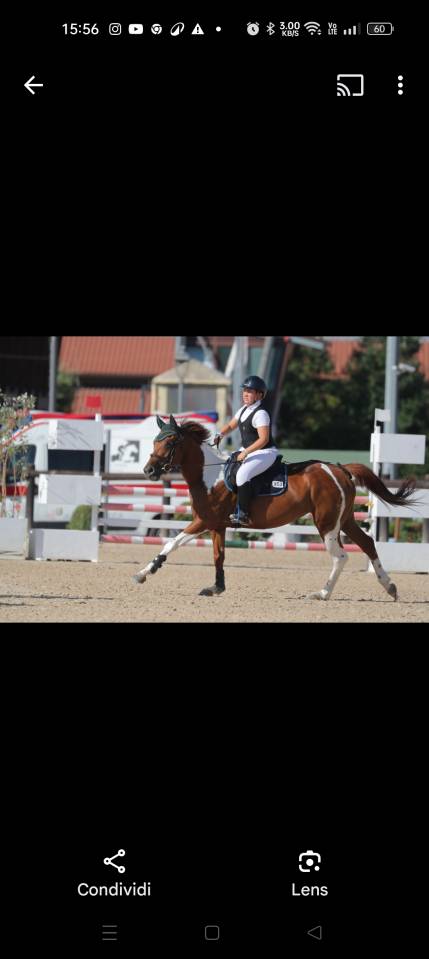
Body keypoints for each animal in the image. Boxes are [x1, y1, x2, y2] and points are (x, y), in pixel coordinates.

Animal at [133, 415, 417, 602]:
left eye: (170, 443)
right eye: (155, 442)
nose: (149, 470)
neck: (209, 476)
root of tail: (339, 469)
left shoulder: (204, 521)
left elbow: (172, 543)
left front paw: (144, 573)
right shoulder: (218, 526)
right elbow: (218, 557)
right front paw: (216, 588)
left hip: (326, 524)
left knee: (340, 556)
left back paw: (322, 593)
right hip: (345, 520)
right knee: (367, 543)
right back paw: (389, 586)